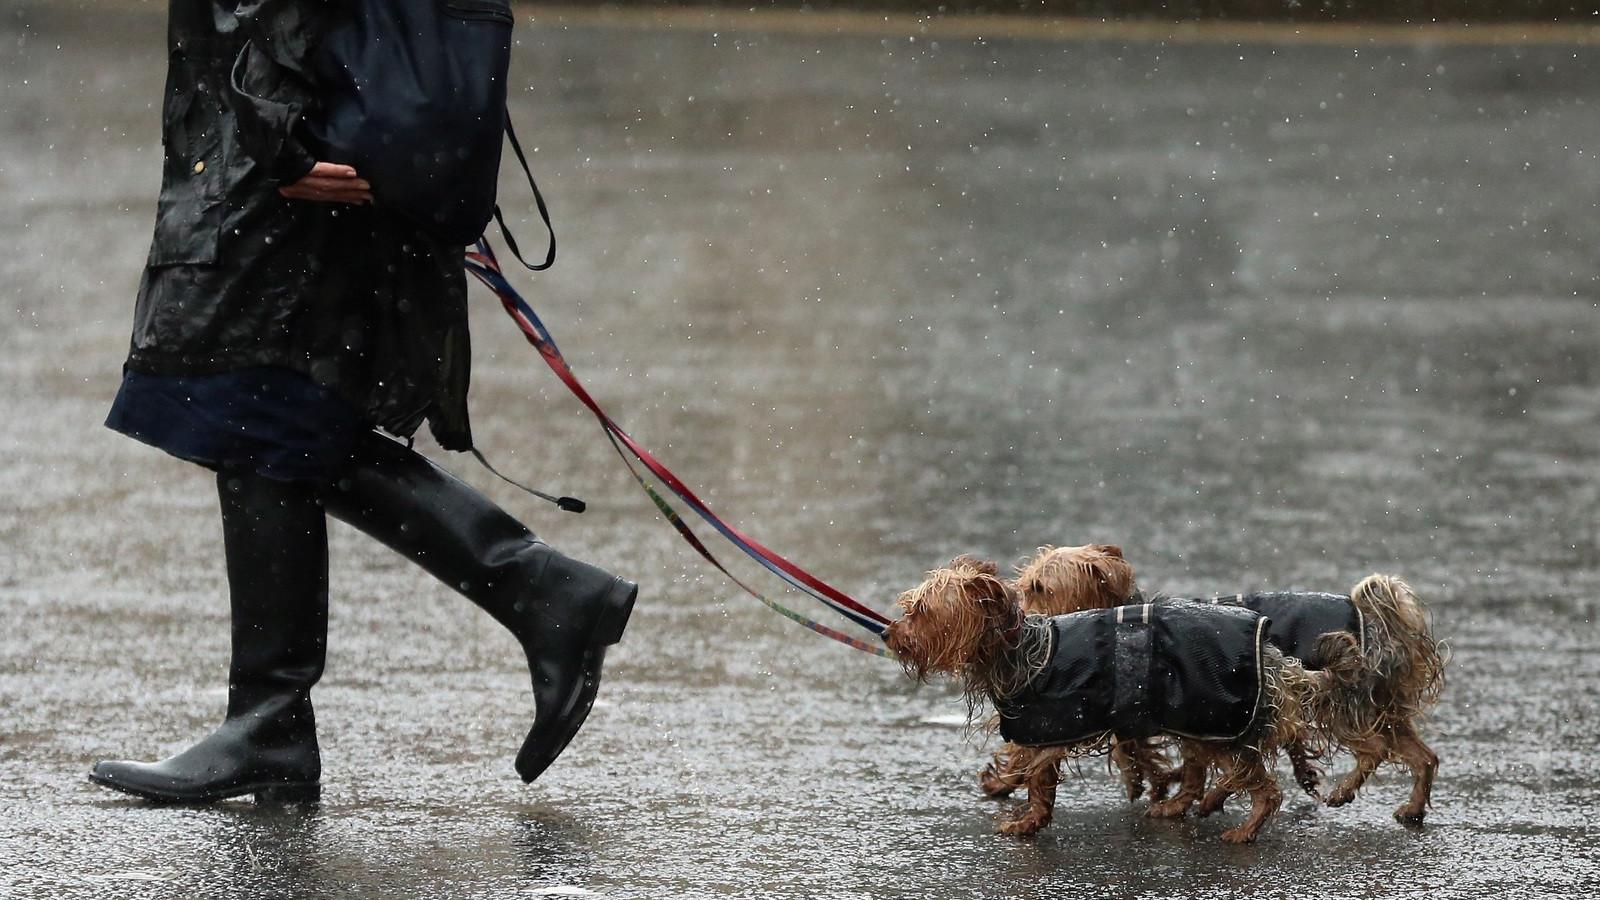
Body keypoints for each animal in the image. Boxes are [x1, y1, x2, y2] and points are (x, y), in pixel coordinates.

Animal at [889, 554, 1324, 839]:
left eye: (922, 610)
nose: (889, 633)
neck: (1018, 649)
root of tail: (1269, 649)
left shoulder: (1045, 728)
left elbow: (1036, 780)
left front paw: (1024, 822)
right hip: (1203, 722)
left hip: (1218, 722)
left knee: (1263, 786)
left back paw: (1243, 829)